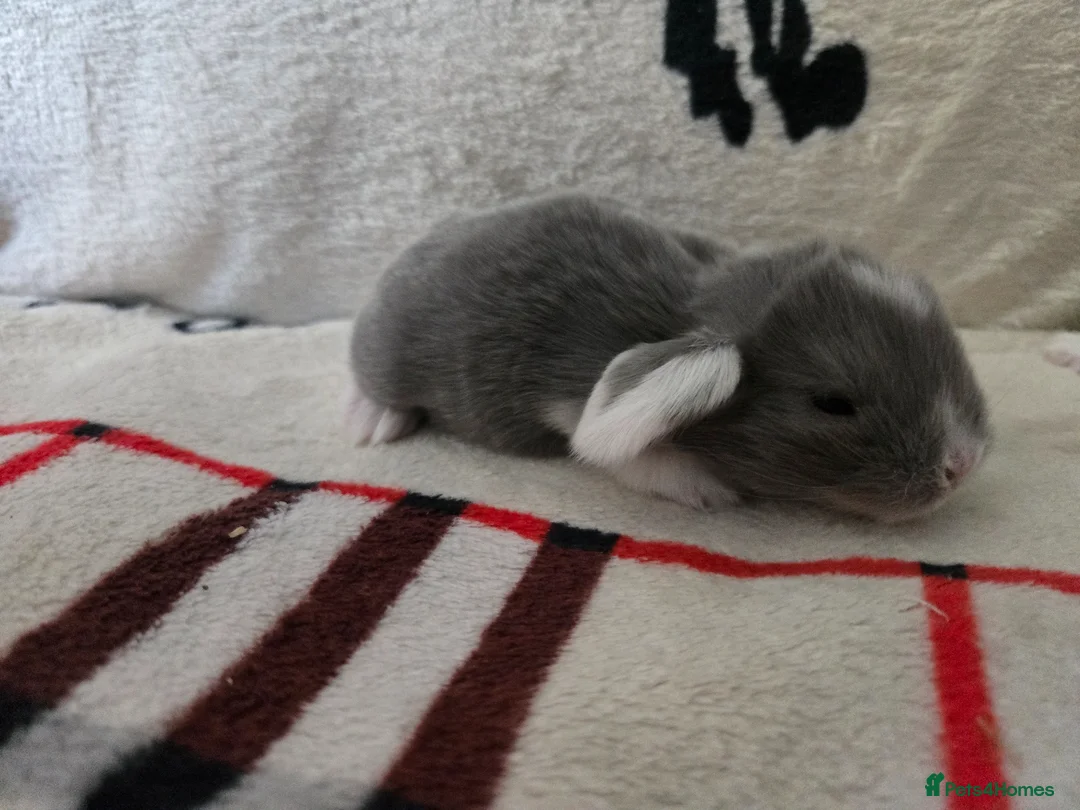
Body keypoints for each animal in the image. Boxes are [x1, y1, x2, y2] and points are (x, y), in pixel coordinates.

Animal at [347, 194, 990, 522]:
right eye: (832, 404)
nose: (961, 465)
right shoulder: (571, 402)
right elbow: (629, 455)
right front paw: (705, 487)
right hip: (386, 353)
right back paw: (374, 418)